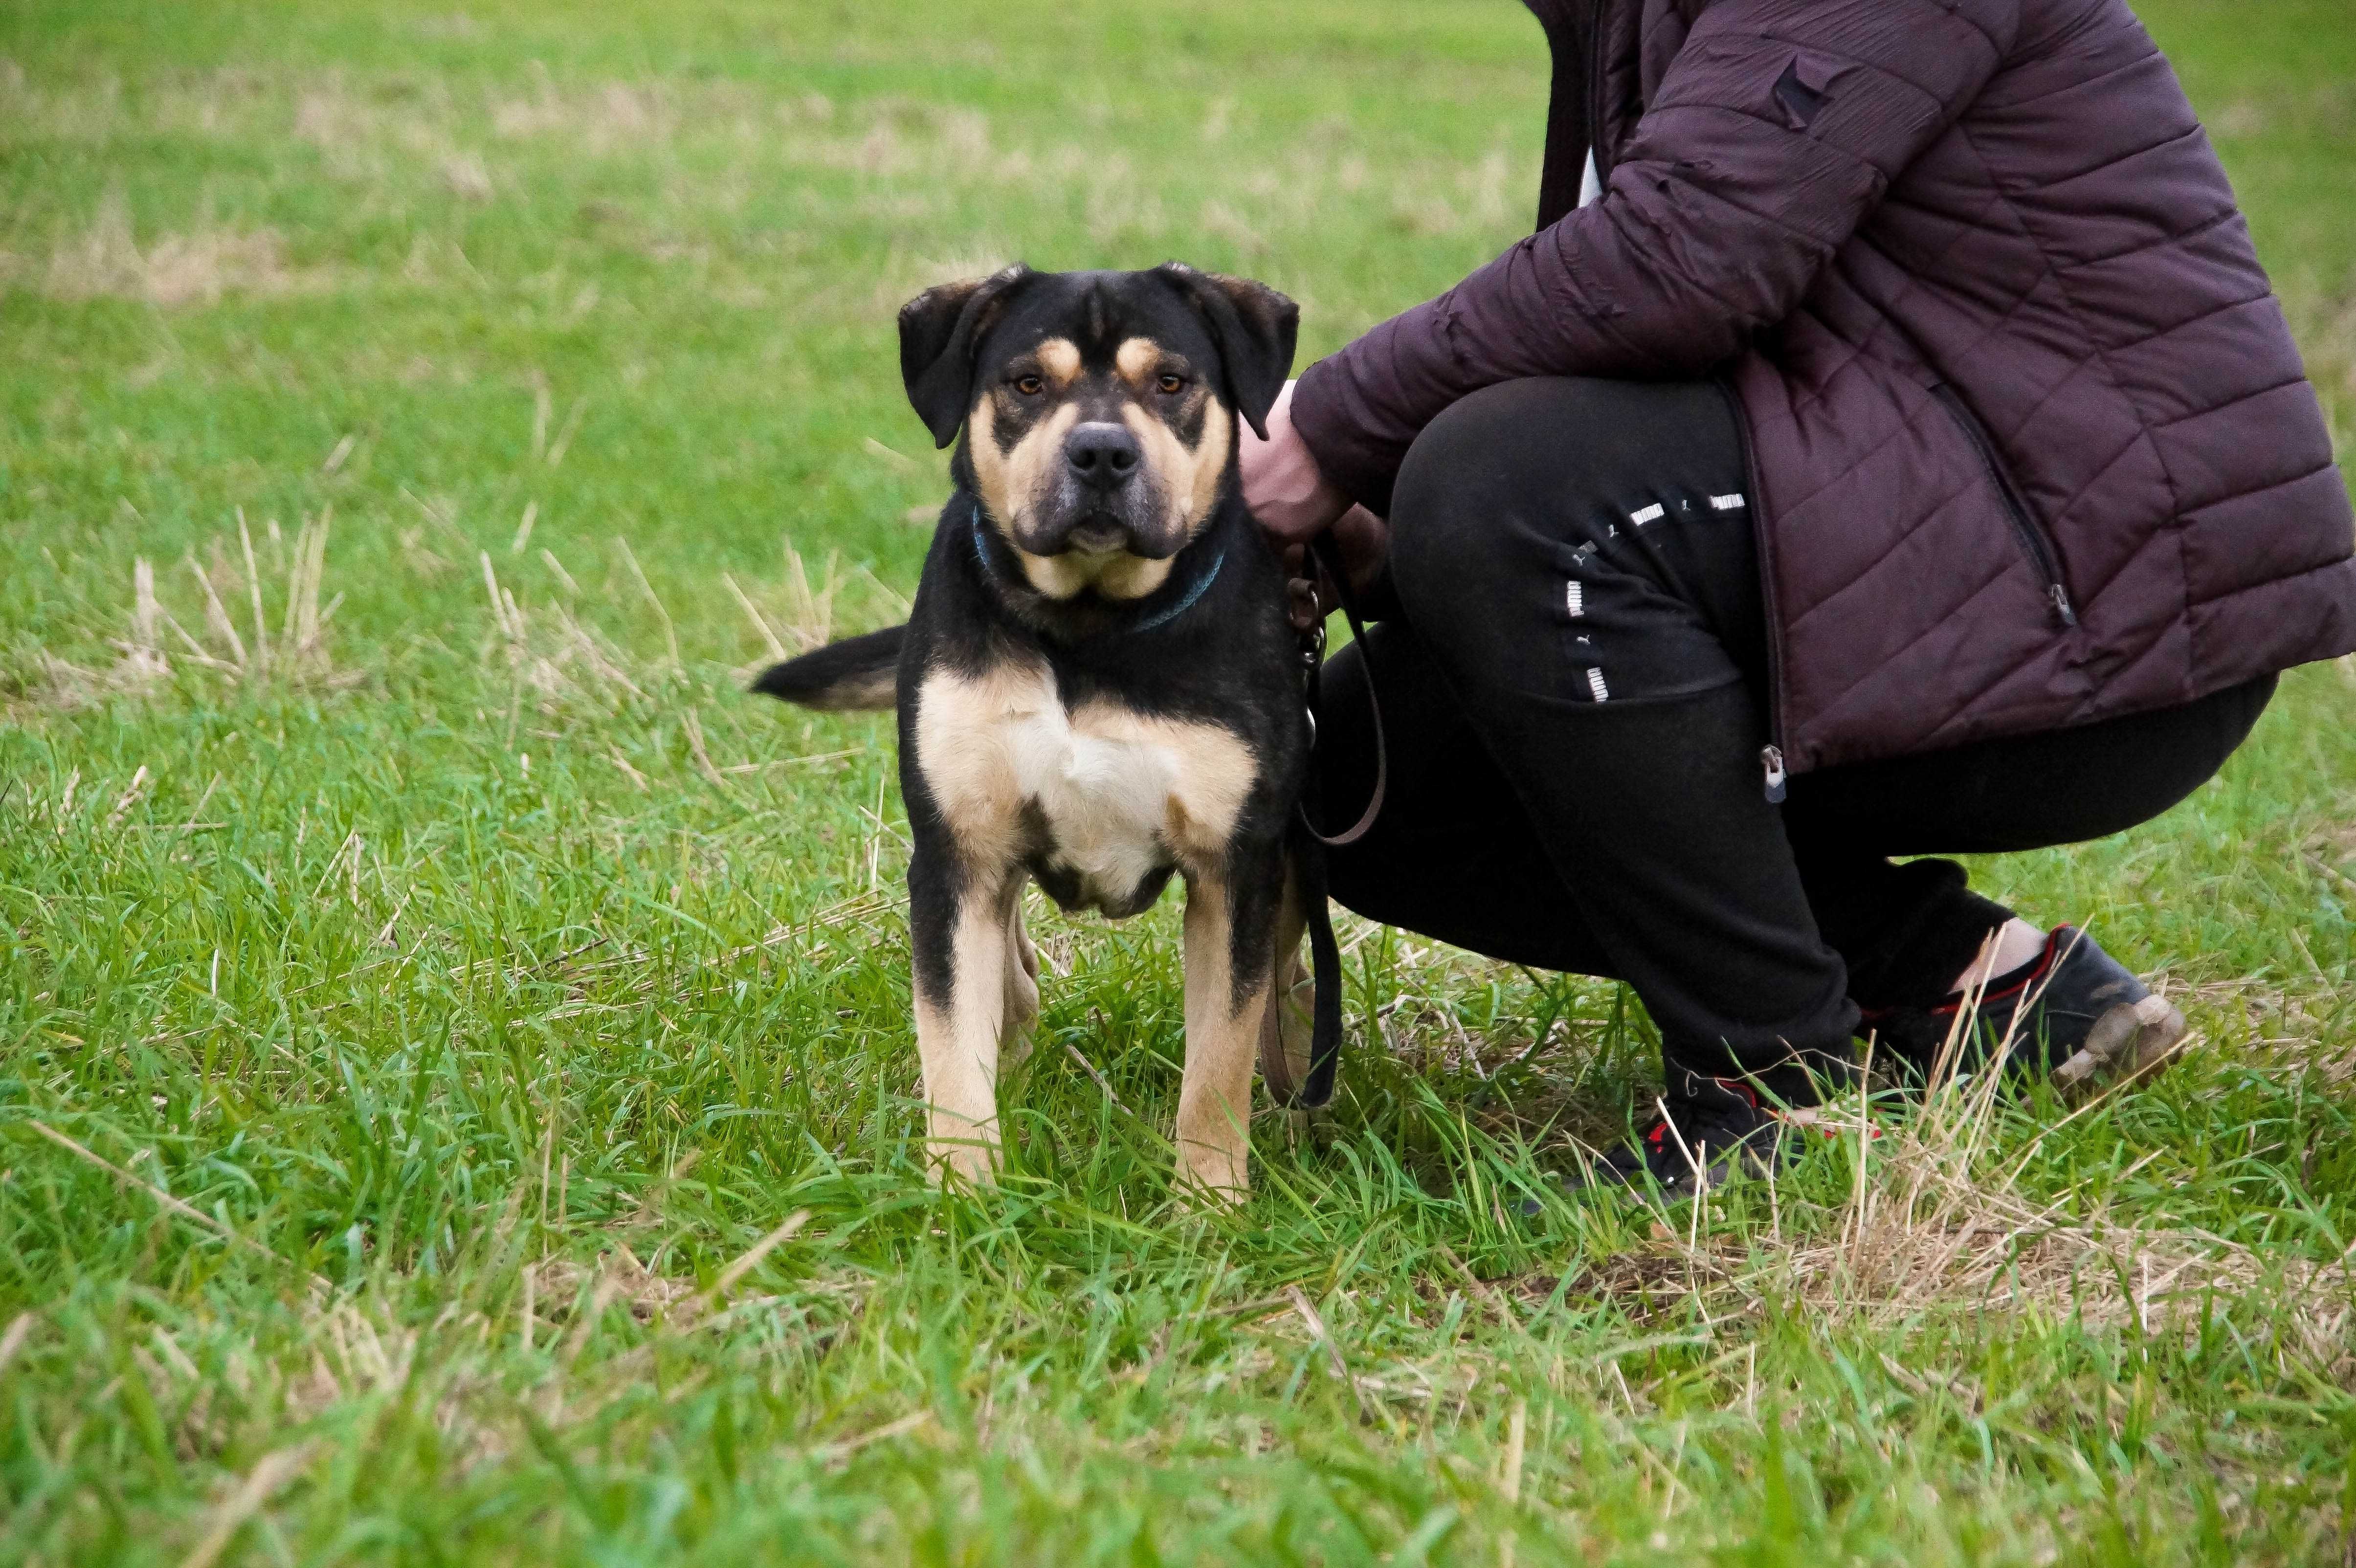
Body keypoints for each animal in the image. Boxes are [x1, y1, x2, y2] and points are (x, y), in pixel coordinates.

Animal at [763, 266, 1338, 1196]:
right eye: (1027, 383)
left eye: (1170, 382)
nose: (1102, 453)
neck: (1089, 628)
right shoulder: (957, 847)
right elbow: (951, 1043)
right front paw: (964, 1195)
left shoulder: (1233, 867)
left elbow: (1217, 1063)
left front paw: (1208, 1203)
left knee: (1283, 991)